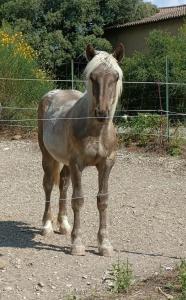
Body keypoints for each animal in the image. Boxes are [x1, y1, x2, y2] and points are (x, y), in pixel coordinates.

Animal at [37, 43, 124, 256]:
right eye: (92, 77)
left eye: (115, 77)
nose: (102, 112)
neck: (96, 132)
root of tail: (51, 94)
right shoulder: (77, 164)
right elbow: (78, 200)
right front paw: (77, 243)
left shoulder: (106, 164)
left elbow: (102, 200)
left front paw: (104, 244)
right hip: (48, 157)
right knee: (48, 185)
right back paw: (47, 226)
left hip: (65, 163)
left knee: (63, 185)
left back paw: (64, 225)